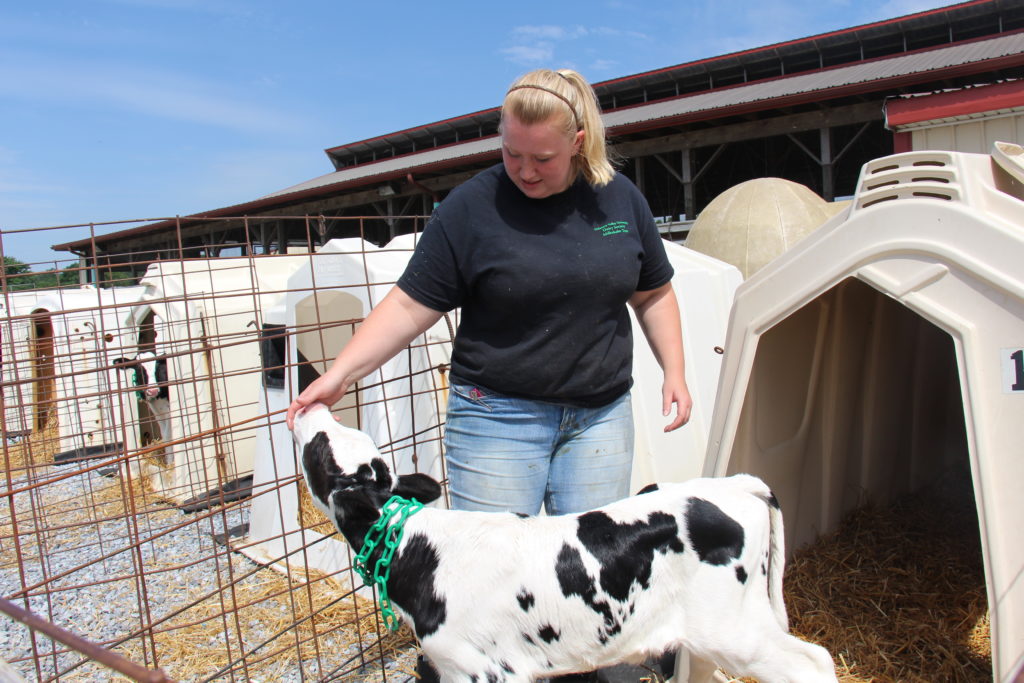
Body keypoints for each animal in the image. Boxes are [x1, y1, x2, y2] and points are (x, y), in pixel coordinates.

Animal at [292, 405, 835, 683]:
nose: (312, 404)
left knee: (814, 662)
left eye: (320, 447)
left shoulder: (487, 669)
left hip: (735, 631)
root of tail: (735, 484)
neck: (421, 550)